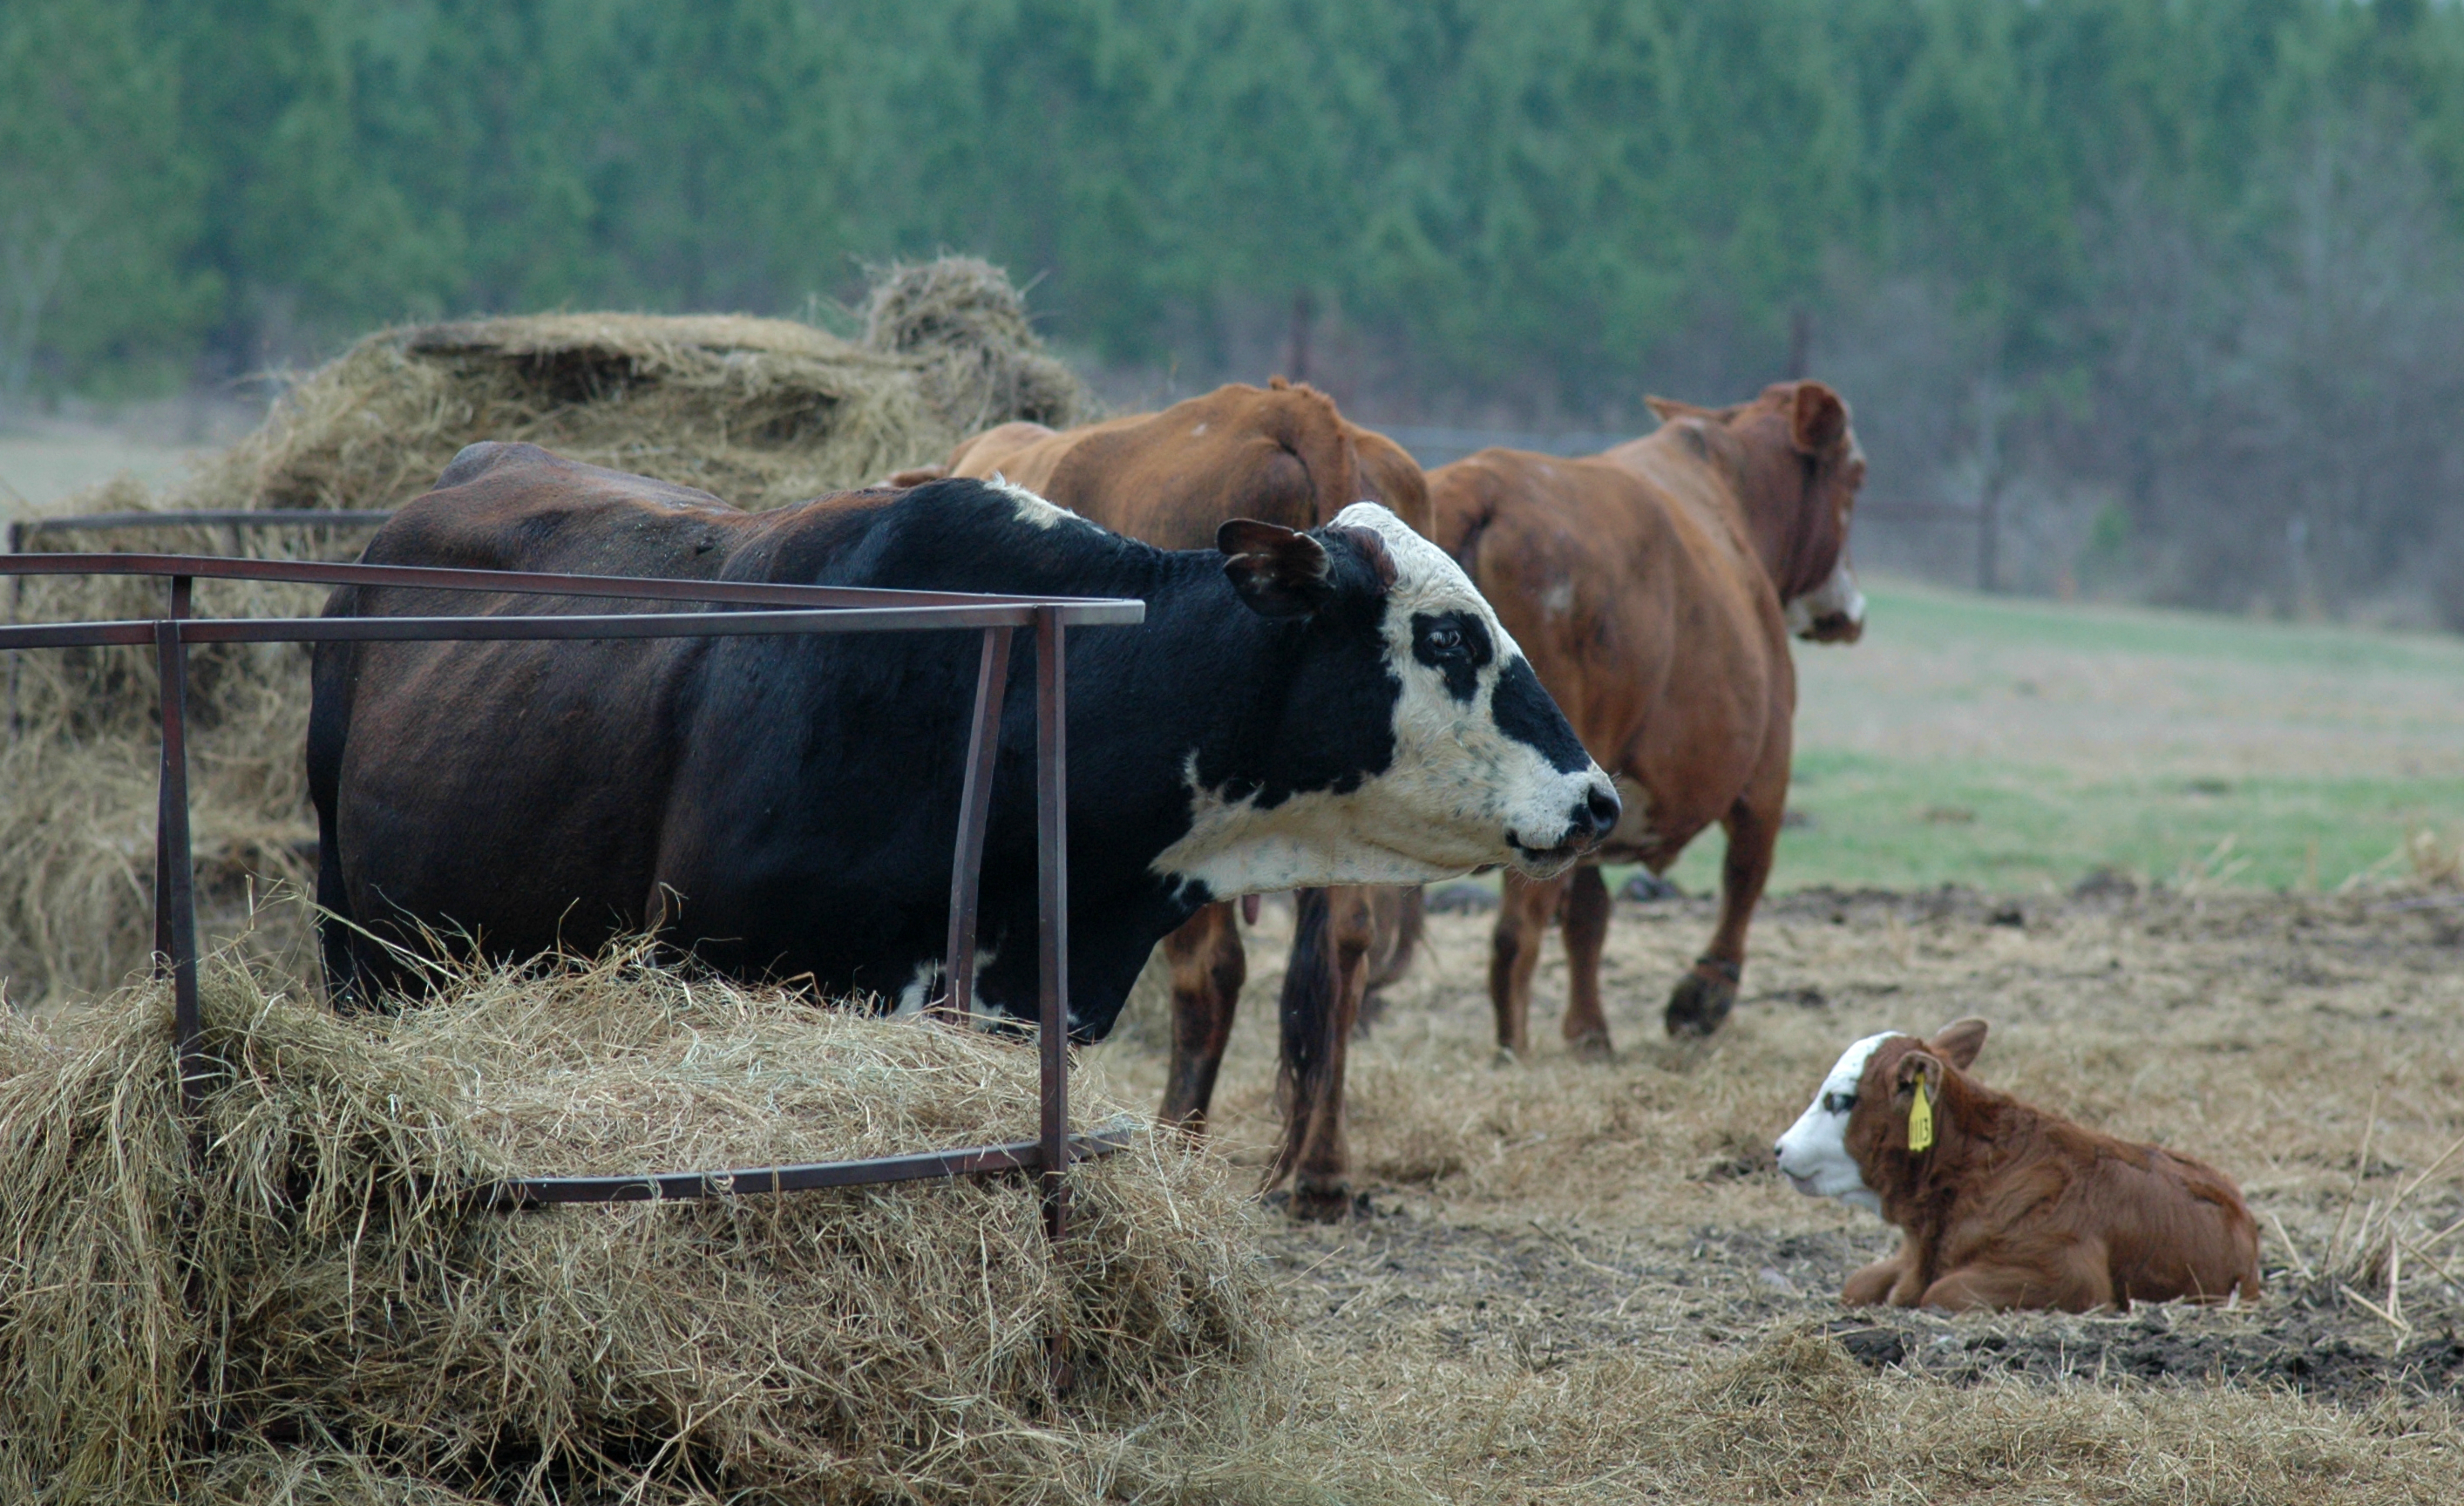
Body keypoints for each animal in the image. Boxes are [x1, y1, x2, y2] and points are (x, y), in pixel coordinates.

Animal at [1429, 382, 1863, 1055]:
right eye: (1855, 477)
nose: (1852, 611)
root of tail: (1480, 488)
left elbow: (1589, 914)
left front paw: (1589, 1031)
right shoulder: (1766, 770)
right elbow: (1746, 875)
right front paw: (1705, 993)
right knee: (1515, 934)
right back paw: (1512, 1050)